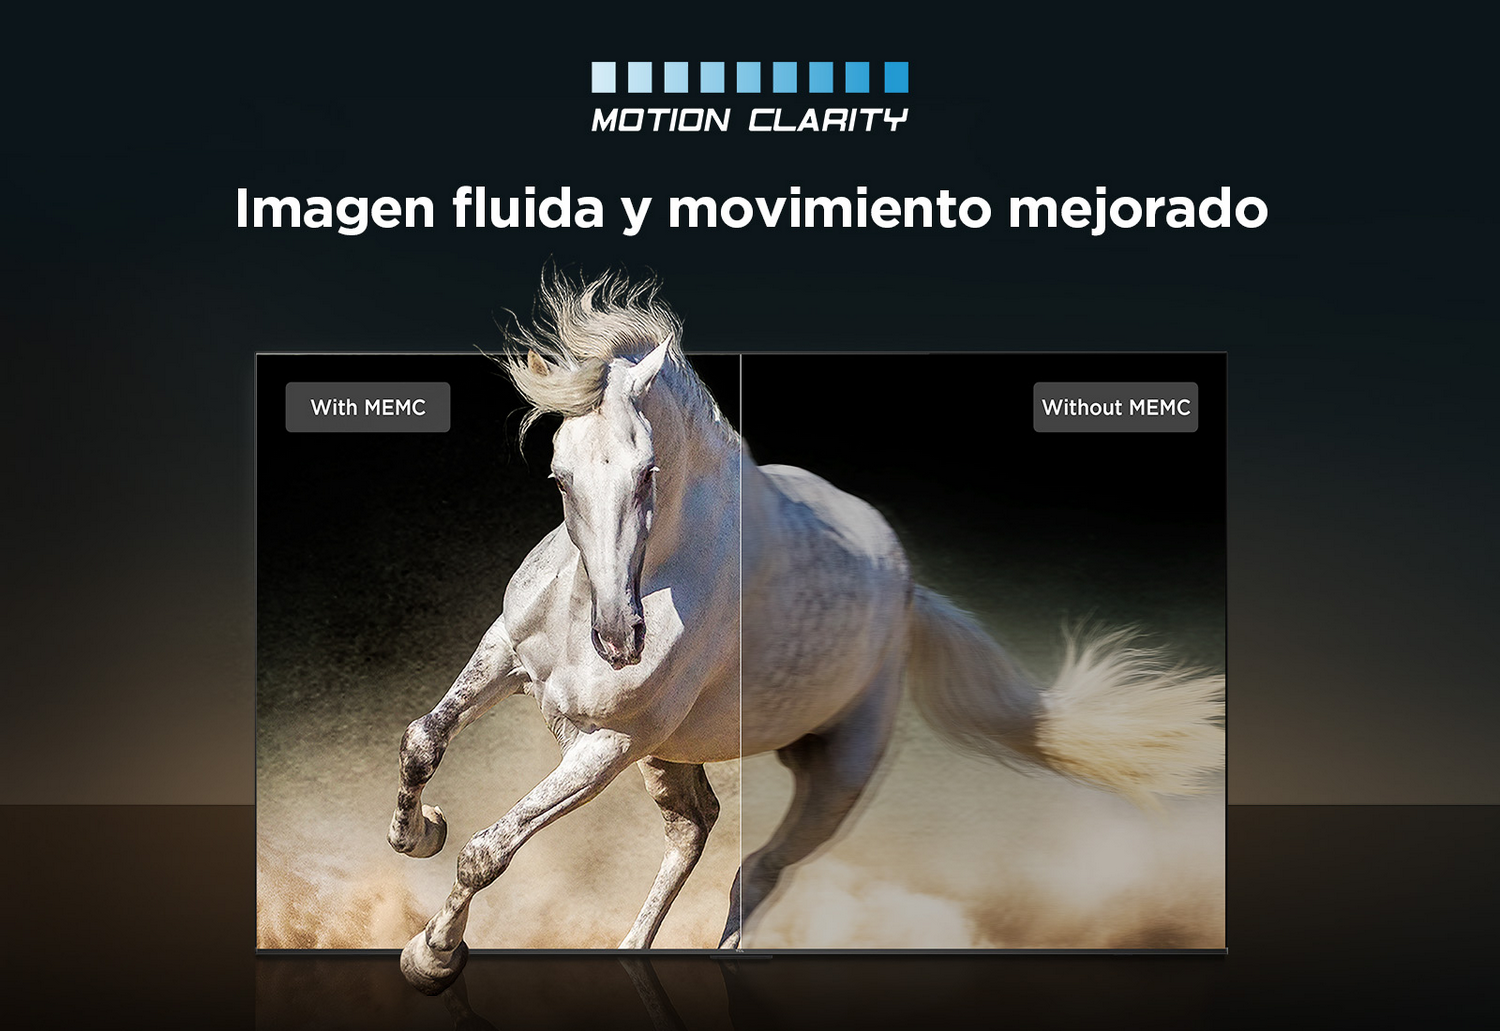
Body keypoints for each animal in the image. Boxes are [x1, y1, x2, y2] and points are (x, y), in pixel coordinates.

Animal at [387, 271, 1225, 992]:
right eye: (559, 475)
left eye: (648, 471)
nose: (620, 639)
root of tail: (908, 591)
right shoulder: (508, 654)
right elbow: (424, 739)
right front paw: (417, 832)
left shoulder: (608, 745)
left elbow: (488, 851)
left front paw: (432, 956)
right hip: (673, 752)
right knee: (695, 829)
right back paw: (628, 950)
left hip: (831, 779)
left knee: (751, 869)